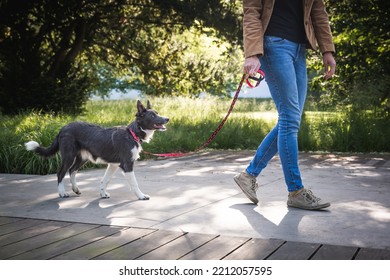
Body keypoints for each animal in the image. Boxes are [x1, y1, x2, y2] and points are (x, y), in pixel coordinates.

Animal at [24, 99, 169, 200]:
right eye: (152, 116)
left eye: (157, 113)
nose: (167, 118)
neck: (132, 134)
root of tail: (63, 128)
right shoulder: (127, 165)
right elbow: (134, 183)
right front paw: (141, 196)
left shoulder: (113, 164)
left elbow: (105, 180)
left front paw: (102, 194)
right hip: (69, 156)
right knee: (61, 173)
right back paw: (62, 193)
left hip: (82, 158)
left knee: (72, 171)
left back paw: (76, 189)